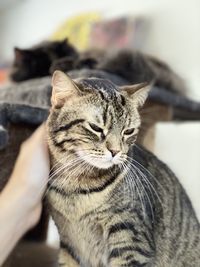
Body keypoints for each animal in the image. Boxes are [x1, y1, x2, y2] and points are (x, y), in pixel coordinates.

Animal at [47, 71, 200, 267]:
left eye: (128, 131)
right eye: (96, 128)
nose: (115, 151)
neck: (76, 187)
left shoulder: (129, 237)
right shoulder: (68, 244)